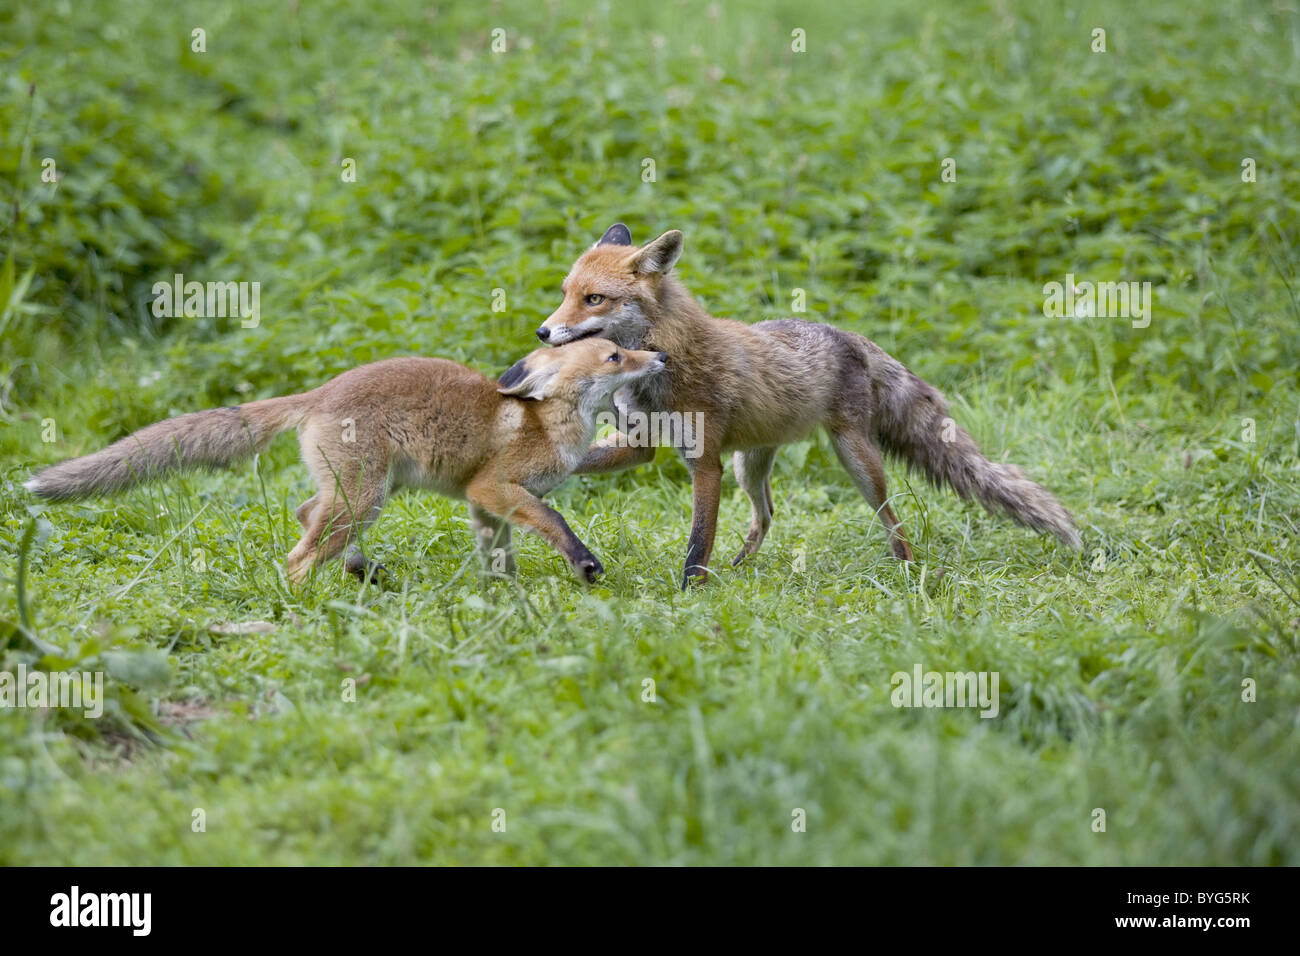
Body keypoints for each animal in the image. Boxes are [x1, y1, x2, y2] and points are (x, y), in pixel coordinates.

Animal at [25, 338, 668, 585]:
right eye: (615, 355)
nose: (659, 356)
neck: (548, 424)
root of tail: (320, 392)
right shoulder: (492, 487)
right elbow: (556, 522)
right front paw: (583, 565)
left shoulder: (486, 505)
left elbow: (500, 555)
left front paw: (501, 593)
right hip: (365, 495)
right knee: (298, 554)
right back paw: (304, 600)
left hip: (362, 492)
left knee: (307, 513)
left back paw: (359, 570)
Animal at [537, 223, 1082, 588]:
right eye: (564, 293)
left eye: (594, 299)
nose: (543, 331)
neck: (659, 362)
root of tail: (848, 335)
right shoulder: (641, 444)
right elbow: (578, 463)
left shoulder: (705, 462)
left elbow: (697, 541)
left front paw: (691, 593)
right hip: (750, 464)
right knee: (766, 516)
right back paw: (741, 568)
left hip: (855, 459)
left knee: (894, 520)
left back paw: (907, 573)